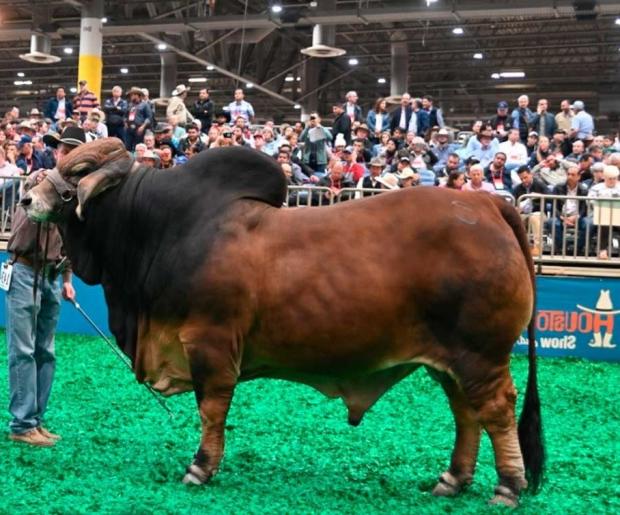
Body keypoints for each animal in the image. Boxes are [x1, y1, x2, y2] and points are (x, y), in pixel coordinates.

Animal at [21, 139, 543, 507]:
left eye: (77, 171)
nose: (26, 198)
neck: (161, 231)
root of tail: (487, 205)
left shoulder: (210, 344)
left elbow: (212, 409)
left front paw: (200, 468)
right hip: (449, 360)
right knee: (465, 413)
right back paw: (452, 480)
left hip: (480, 354)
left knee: (496, 409)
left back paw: (508, 486)